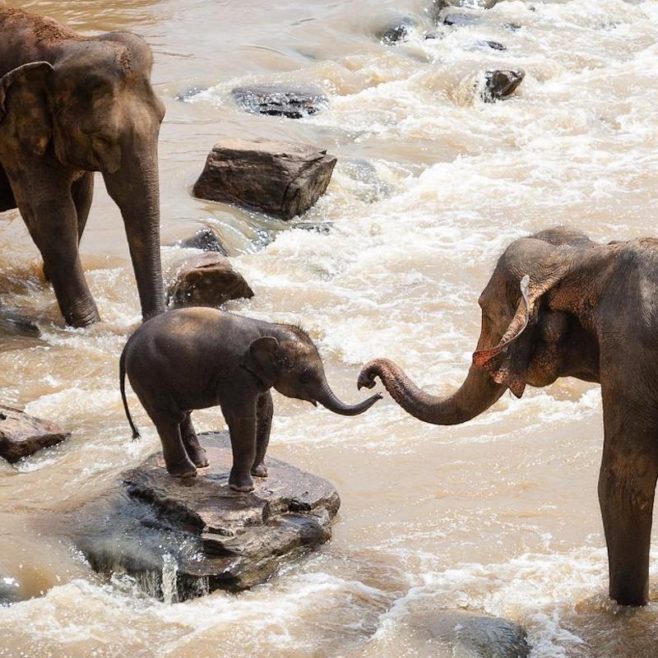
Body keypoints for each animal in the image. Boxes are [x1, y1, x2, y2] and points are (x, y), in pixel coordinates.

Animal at [0, 5, 167, 322]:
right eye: (102, 136)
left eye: (162, 118)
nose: (152, 320)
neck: (64, 44)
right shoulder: (11, 133)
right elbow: (51, 213)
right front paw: (90, 324)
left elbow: (81, 202)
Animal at [120, 306, 382, 486]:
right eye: (305, 376)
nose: (376, 390)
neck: (268, 328)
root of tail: (127, 346)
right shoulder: (236, 374)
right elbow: (242, 419)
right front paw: (244, 488)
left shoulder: (256, 375)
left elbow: (265, 412)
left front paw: (260, 473)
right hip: (148, 375)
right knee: (168, 418)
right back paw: (187, 472)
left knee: (181, 414)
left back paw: (201, 463)